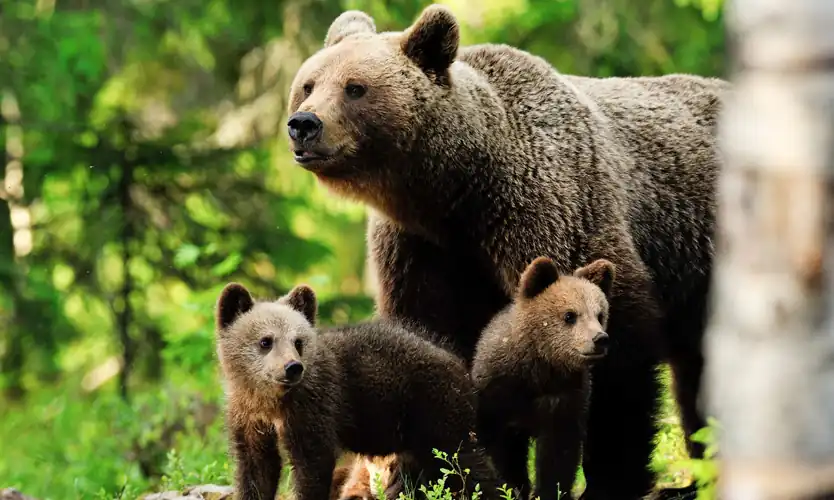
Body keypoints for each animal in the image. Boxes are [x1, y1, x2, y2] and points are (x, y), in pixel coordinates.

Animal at [214, 281, 502, 500]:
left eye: (298, 341)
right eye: (266, 341)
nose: (292, 368)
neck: (270, 401)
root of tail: (460, 367)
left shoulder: (315, 409)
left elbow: (311, 468)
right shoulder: (248, 419)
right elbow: (256, 471)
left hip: (436, 412)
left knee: (464, 465)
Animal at [472, 257, 615, 500]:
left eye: (600, 314)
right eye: (570, 315)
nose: (599, 339)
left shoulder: (565, 400)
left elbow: (558, 456)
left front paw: (549, 491)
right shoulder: (498, 395)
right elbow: (501, 449)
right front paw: (511, 487)